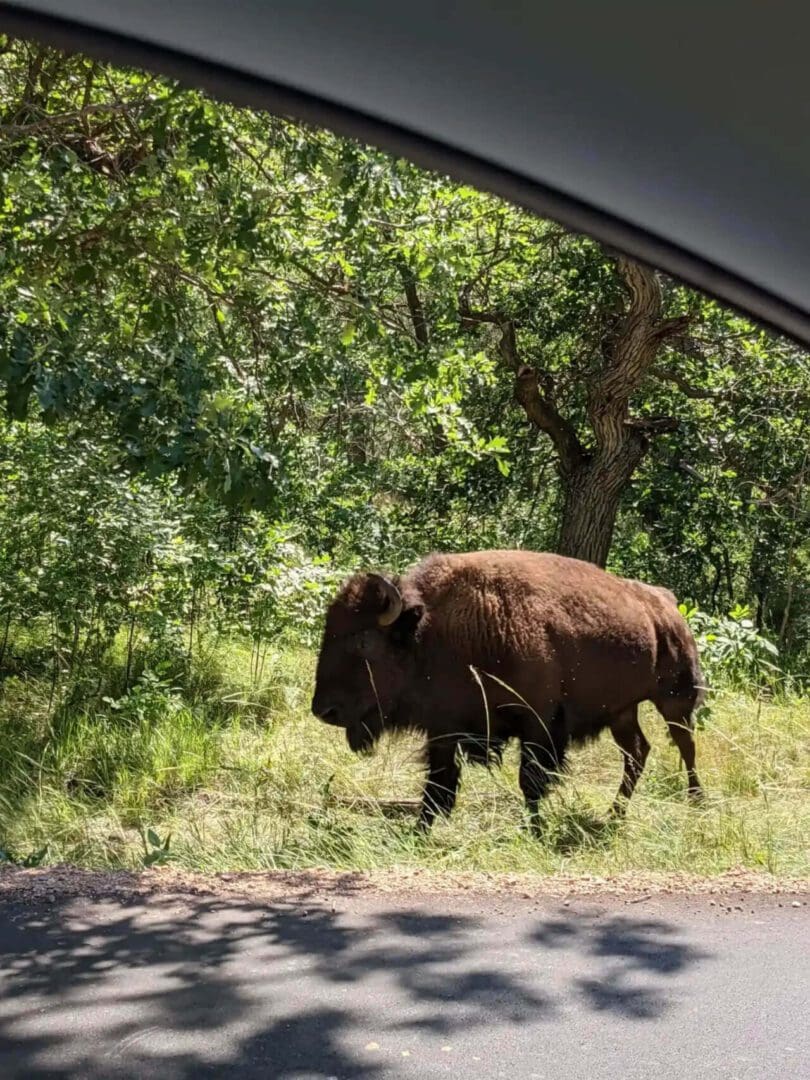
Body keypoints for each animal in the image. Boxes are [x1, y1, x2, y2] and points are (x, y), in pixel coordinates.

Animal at [311, 552, 704, 829]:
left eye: (363, 641)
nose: (324, 711)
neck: (433, 631)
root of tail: (665, 605)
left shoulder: (539, 725)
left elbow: (529, 782)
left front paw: (535, 831)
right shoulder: (444, 729)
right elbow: (438, 786)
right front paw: (419, 833)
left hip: (675, 701)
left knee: (685, 747)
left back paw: (696, 803)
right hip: (622, 712)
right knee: (637, 752)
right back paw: (615, 814)